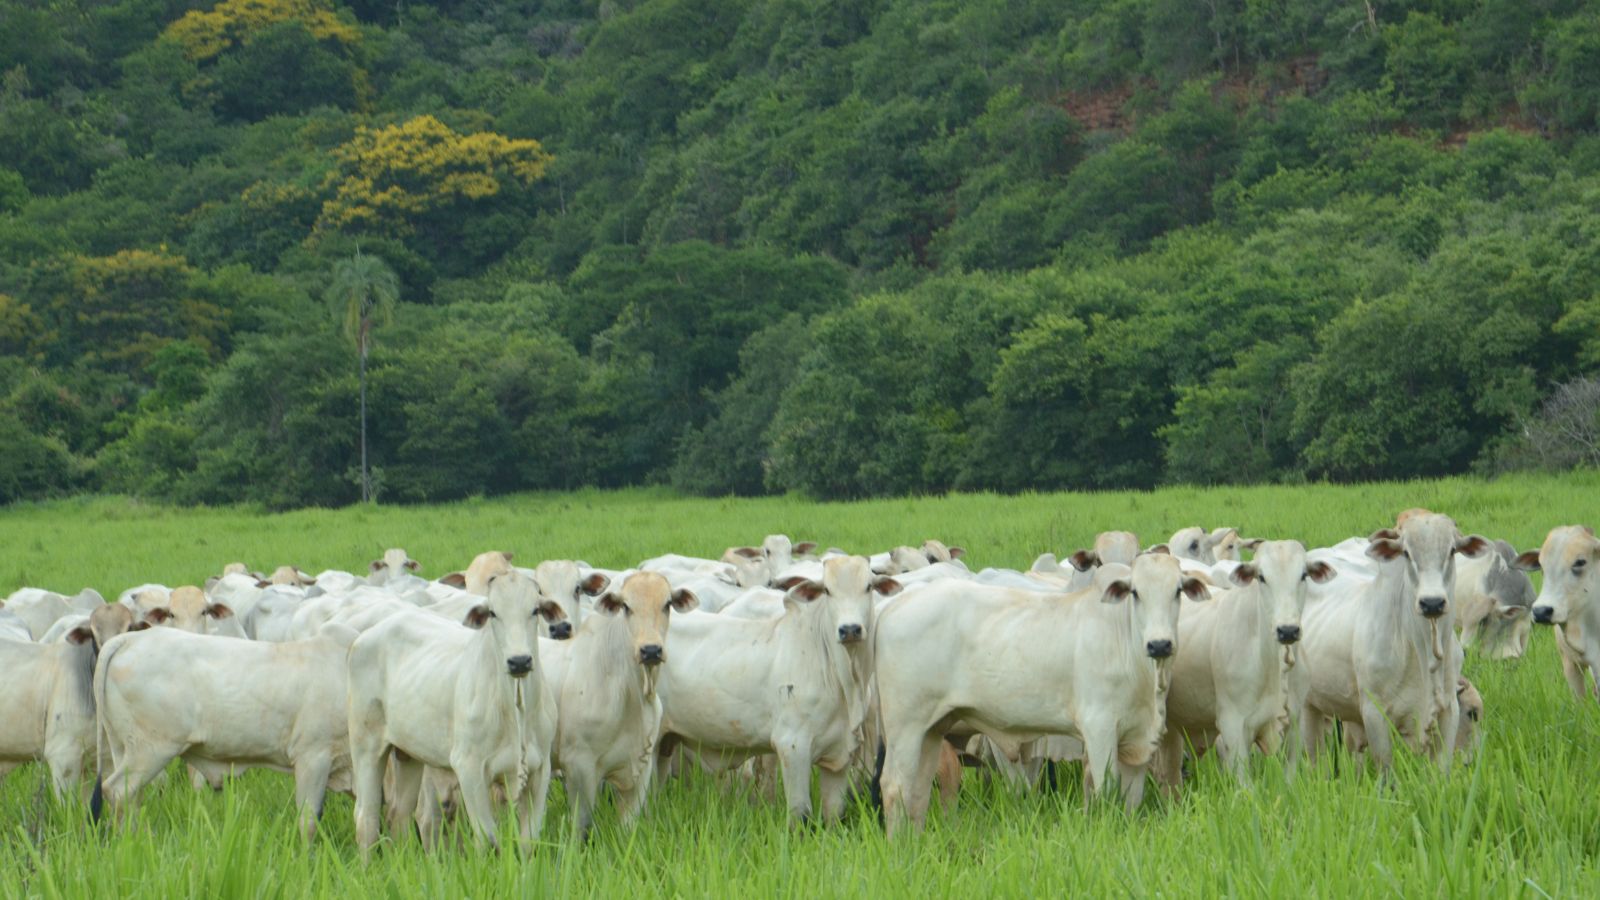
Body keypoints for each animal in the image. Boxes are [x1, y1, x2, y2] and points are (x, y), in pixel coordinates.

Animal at [92, 614, 355, 832]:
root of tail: (129, 639)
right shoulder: (313, 757)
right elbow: (309, 821)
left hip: (122, 747)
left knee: (132, 797)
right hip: (151, 750)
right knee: (116, 791)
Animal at [347, 566, 566, 845]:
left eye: (535, 610)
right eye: (493, 612)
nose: (519, 661)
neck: (515, 708)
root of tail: (363, 637)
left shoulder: (540, 770)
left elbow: (529, 840)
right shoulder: (469, 768)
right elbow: (488, 839)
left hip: (408, 753)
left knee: (400, 814)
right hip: (365, 746)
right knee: (366, 817)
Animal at [537, 570, 694, 839]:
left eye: (667, 604)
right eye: (626, 607)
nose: (650, 650)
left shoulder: (640, 768)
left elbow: (627, 829)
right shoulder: (578, 767)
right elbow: (582, 826)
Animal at [652, 557, 902, 826]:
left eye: (868, 587)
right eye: (827, 590)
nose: (850, 629)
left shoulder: (839, 756)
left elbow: (835, 813)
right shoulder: (792, 747)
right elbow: (800, 814)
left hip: (665, 743)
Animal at [876, 554, 1203, 832]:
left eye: (1177, 591)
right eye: (1135, 592)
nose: (1159, 644)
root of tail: (895, 606)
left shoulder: (1138, 740)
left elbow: (1132, 800)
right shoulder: (1099, 728)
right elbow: (1105, 791)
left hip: (932, 728)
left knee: (918, 790)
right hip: (905, 726)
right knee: (894, 786)